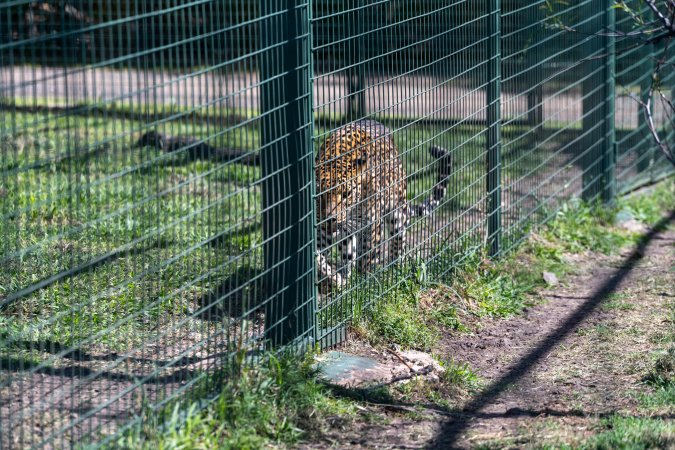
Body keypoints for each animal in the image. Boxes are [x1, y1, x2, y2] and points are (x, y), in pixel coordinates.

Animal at [315, 119, 453, 290]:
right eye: (320, 195)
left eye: (347, 194)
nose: (330, 219)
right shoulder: (322, 231)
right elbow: (317, 258)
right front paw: (337, 280)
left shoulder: (372, 224)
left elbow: (367, 258)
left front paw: (366, 286)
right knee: (349, 255)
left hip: (398, 213)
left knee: (398, 245)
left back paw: (396, 272)